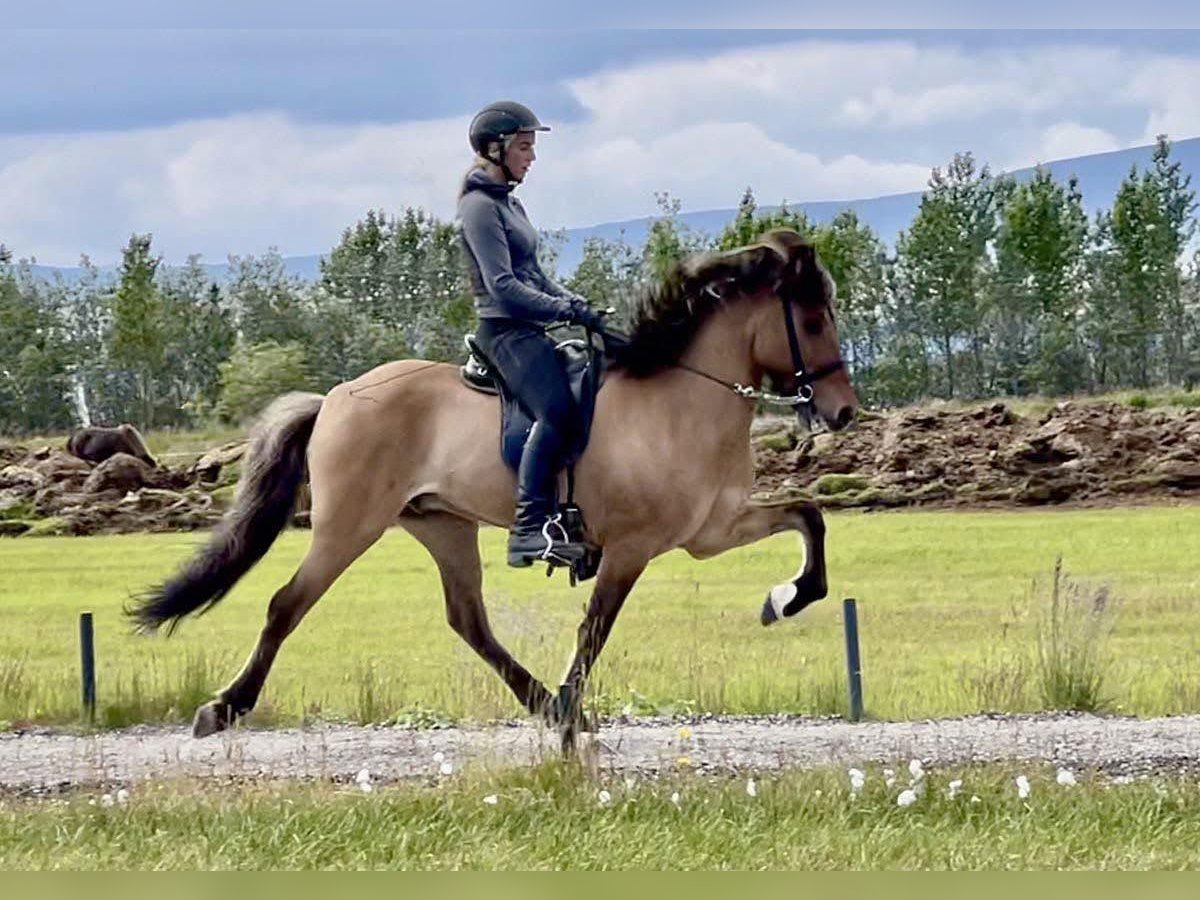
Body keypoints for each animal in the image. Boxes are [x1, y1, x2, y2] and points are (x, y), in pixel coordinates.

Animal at [131, 226, 859, 753]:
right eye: (813, 320)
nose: (844, 411)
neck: (680, 401)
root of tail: (335, 396)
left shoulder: (710, 531)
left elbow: (809, 516)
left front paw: (785, 599)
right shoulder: (632, 548)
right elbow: (594, 629)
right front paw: (569, 716)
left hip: (441, 524)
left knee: (468, 619)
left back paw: (542, 704)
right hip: (349, 526)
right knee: (287, 604)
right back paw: (223, 708)